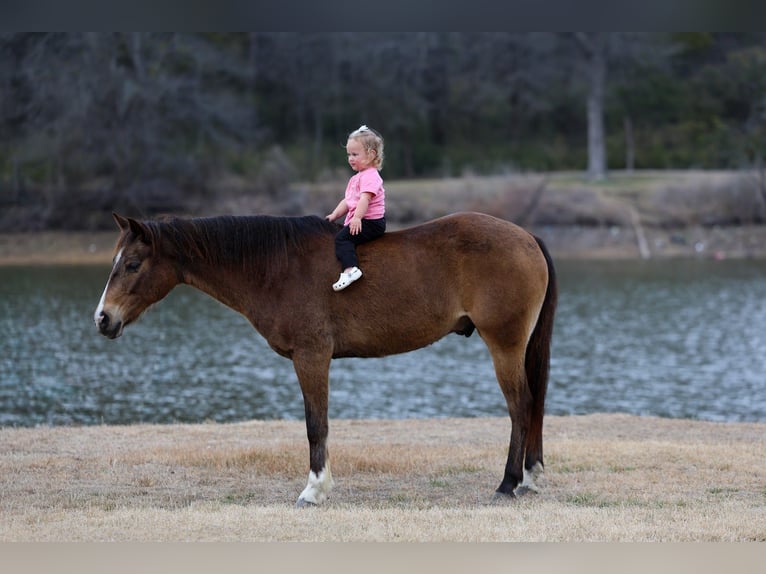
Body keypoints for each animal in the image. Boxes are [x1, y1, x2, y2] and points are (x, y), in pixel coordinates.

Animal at [94, 211, 557, 506]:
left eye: (132, 264)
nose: (103, 318)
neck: (276, 267)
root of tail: (527, 237)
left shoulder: (311, 356)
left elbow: (316, 424)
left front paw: (314, 490)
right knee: (530, 407)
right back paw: (530, 478)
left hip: (504, 345)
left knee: (521, 406)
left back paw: (508, 484)